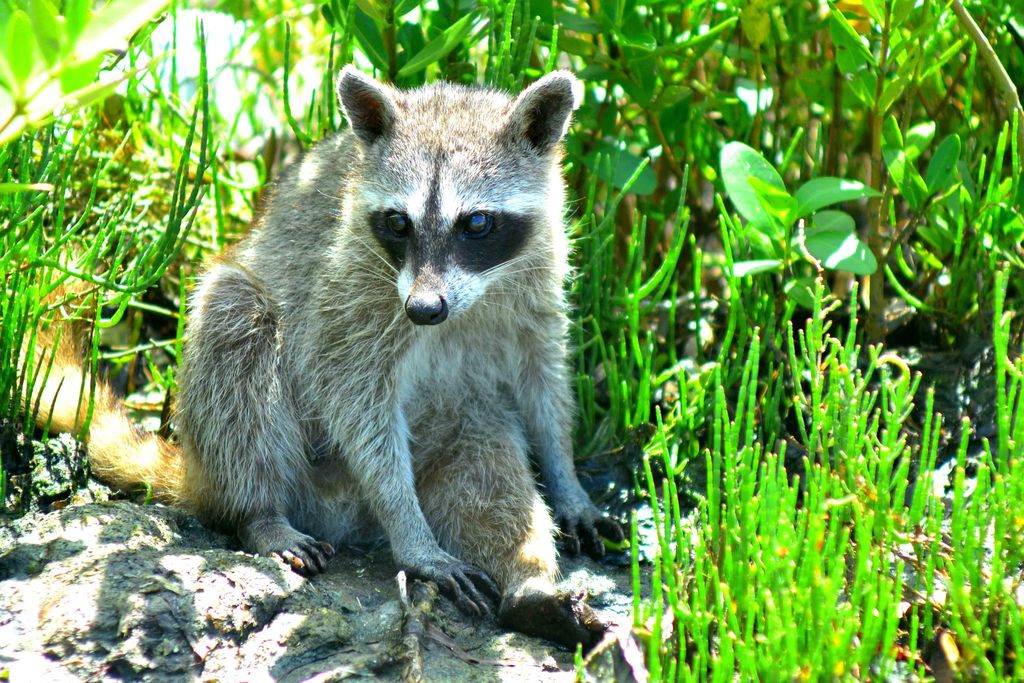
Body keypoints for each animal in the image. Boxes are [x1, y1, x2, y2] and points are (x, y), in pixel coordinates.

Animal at [34, 66, 622, 651]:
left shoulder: (539, 280)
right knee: (235, 327)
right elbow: (351, 396)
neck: (467, 299)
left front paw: (565, 477)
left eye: (476, 223)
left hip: (454, 423)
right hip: (288, 451)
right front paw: (411, 535)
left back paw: (528, 587)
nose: (423, 308)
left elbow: (543, 382)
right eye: (398, 222)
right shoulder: (349, 291)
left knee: (488, 465)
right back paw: (264, 512)